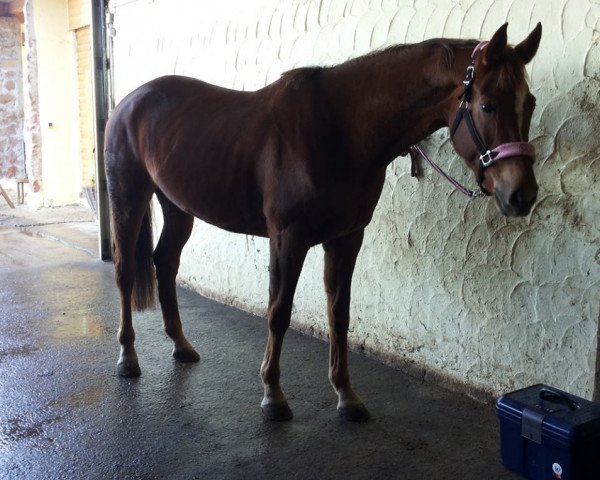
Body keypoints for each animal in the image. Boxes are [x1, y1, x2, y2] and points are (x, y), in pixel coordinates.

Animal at [104, 22, 544, 420]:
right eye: (487, 105)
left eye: (531, 102)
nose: (521, 195)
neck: (340, 130)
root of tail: (129, 101)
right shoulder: (287, 238)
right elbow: (279, 312)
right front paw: (273, 396)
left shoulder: (347, 238)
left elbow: (340, 314)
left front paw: (346, 396)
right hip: (129, 199)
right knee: (125, 272)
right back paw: (127, 357)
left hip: (178, 206)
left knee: (165, 263)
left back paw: (181, 345)